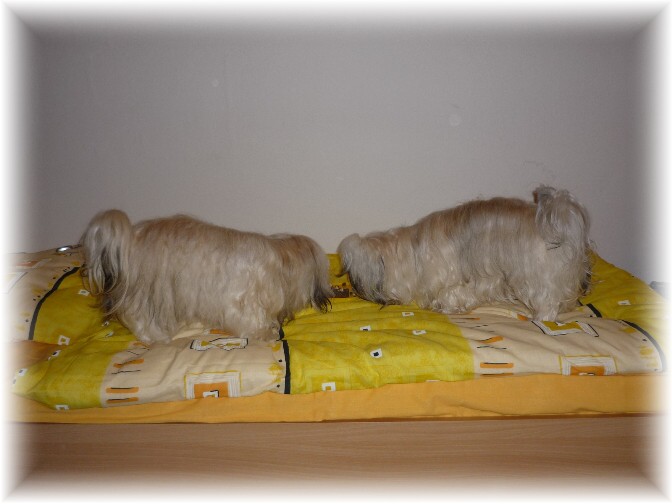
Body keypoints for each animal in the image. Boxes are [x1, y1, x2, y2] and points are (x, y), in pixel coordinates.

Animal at [81, 210, 333, 344]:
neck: (280, 259)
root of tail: (130, 239)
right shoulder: (239, 298)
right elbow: (249, 320)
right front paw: (265, 333)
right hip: (149, 290)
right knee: (138, 317)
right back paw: (157, 336)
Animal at [338, 186, 591, 321]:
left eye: (355, 275)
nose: (353, 288)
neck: (409, 252)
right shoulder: (482, 279)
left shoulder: (447, 276)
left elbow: (450, 293)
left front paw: (446, 308)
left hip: (534, 275)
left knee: (547, 299)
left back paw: (541, 319)